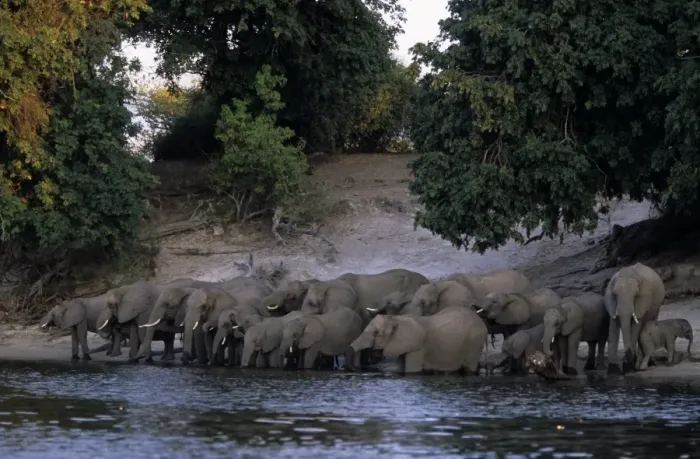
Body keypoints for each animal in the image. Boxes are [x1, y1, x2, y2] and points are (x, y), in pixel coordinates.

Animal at [350, 306, 488, 375]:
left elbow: (412, 370)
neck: (396, 318)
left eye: (376, 333)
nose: (356, 370)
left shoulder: (417, 347)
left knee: (470, 367)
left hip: (475, 341)